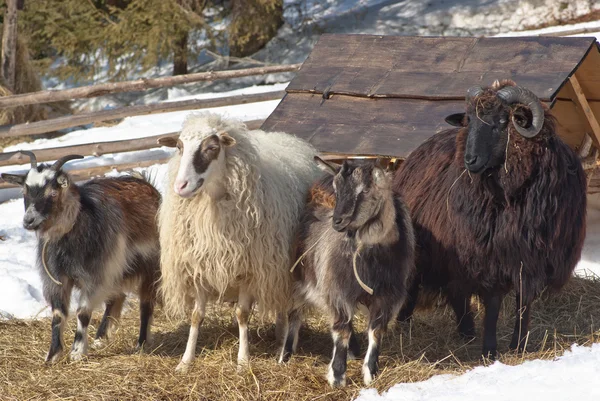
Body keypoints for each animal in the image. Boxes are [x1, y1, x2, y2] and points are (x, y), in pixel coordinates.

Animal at [0, 152, 162, 360]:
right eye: (24, 192)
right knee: (116, 297)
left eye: (53, 193)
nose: (29, 221)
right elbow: (58, 314)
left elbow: (82, 313)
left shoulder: (94, 276)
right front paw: (53, 355)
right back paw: (100, 338)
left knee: (146, 303)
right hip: (117, 268)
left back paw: (141, 343)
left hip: (148, 264)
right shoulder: (57, 278)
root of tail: (146, 185)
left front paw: (77, 351)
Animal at [278, 158, 414, 386]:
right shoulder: (338, 290)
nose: (337, 221)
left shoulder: (386, 297)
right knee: (295, 314)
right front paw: (337, 377)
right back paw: (285, 356)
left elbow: (375, 332)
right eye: (338, 189)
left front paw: (370, 374)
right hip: (299, 278)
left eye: (365, 190)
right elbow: (341, 330)